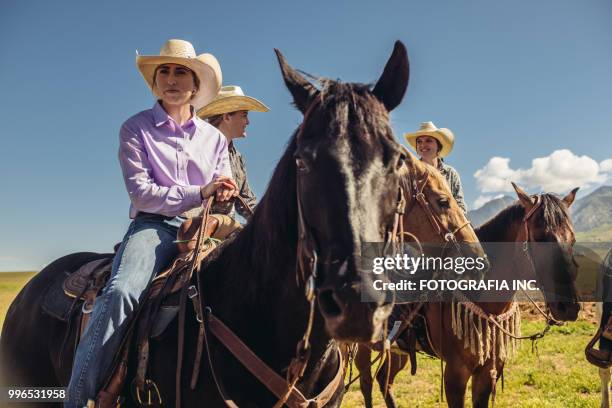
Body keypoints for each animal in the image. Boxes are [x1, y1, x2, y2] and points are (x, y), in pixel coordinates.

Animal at [354, 182, 580, 408]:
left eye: (573, 240)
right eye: (540, 238)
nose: (569, 308)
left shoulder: (489, 371)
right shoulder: (455, 374)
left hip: (397, 349)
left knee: (384, 380)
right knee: (366, 382)